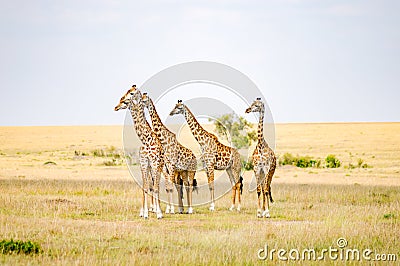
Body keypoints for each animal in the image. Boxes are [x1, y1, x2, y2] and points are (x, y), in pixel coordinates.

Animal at [113, 86, 163, 219]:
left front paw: (158, 213)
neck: (146, 140)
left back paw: (161, 210)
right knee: (151, 185)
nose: (116, 107)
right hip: (150, 167)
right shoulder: (143, 163)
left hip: (160, 166)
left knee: (158, 185)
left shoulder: (155, 163)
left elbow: (155, 188)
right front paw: (144, 213)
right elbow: (145, 187)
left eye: (130, 94)